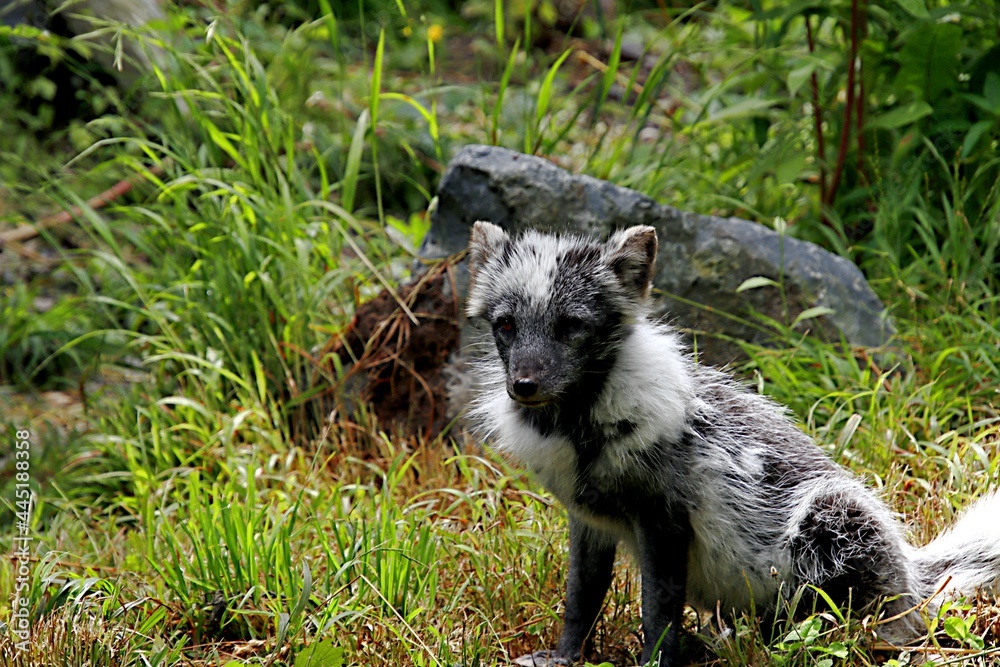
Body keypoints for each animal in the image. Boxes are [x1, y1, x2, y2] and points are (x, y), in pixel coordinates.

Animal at [463, 220, 1000, 666]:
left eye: (571, 325)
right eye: (506, 324)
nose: (524, 386)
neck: (580, 434)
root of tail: (912, 572)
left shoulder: (664, 519)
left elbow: (658, 610)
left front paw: (655, 664)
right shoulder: (588, 519)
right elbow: (581, 596)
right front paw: (565, 658)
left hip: (831, 520)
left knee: (878, 623)